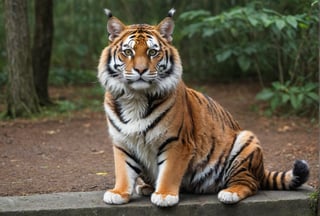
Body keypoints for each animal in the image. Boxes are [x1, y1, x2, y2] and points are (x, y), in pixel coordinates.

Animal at [97, 8, 310, 208]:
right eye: (128, 52)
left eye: (152, 52)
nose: (140, 70)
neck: (136, 97)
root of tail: (261, 170)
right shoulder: (122, 141)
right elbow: (123, 170)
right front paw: (118, 193)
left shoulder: (177, 141)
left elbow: (169, 172)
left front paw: (164, 196)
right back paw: (146, 187)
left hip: (246, 140)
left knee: (250, 183)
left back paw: (229, 193)